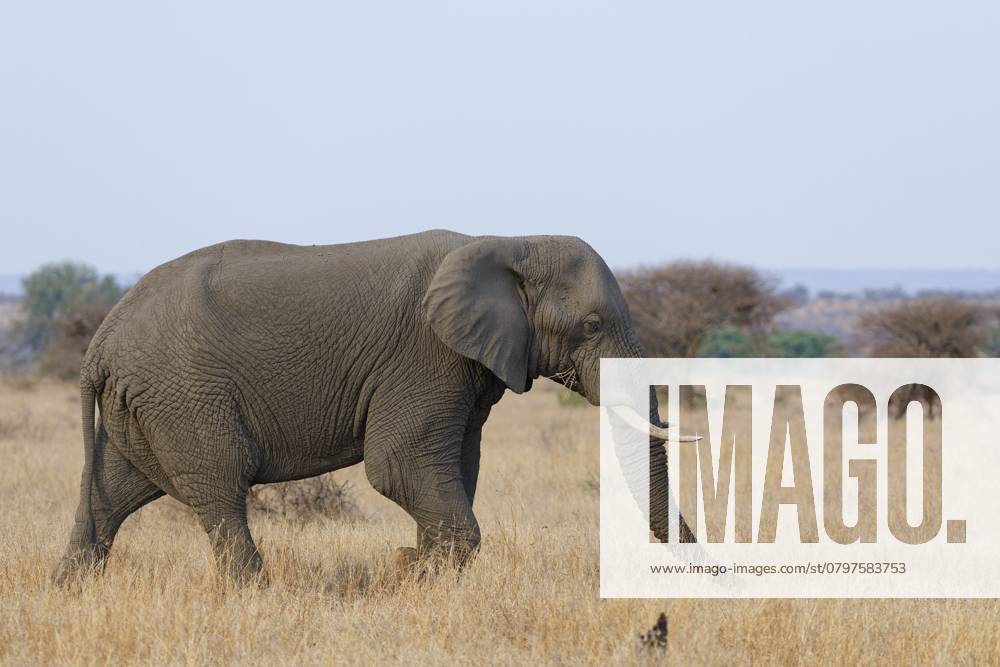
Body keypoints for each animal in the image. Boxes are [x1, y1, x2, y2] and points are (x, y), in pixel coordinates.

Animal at [52, 230, 679, 584]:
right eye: (591, 325)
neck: (510, 241)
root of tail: (100, 340)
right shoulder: (426, 355)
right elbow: (398, 465)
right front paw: (412, 573)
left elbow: (459, 465)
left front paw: (416, 570)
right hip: (184, 392)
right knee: (221, 486)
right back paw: (255, 594)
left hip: (149, 401)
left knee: (113, 493)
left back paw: (71, 590)